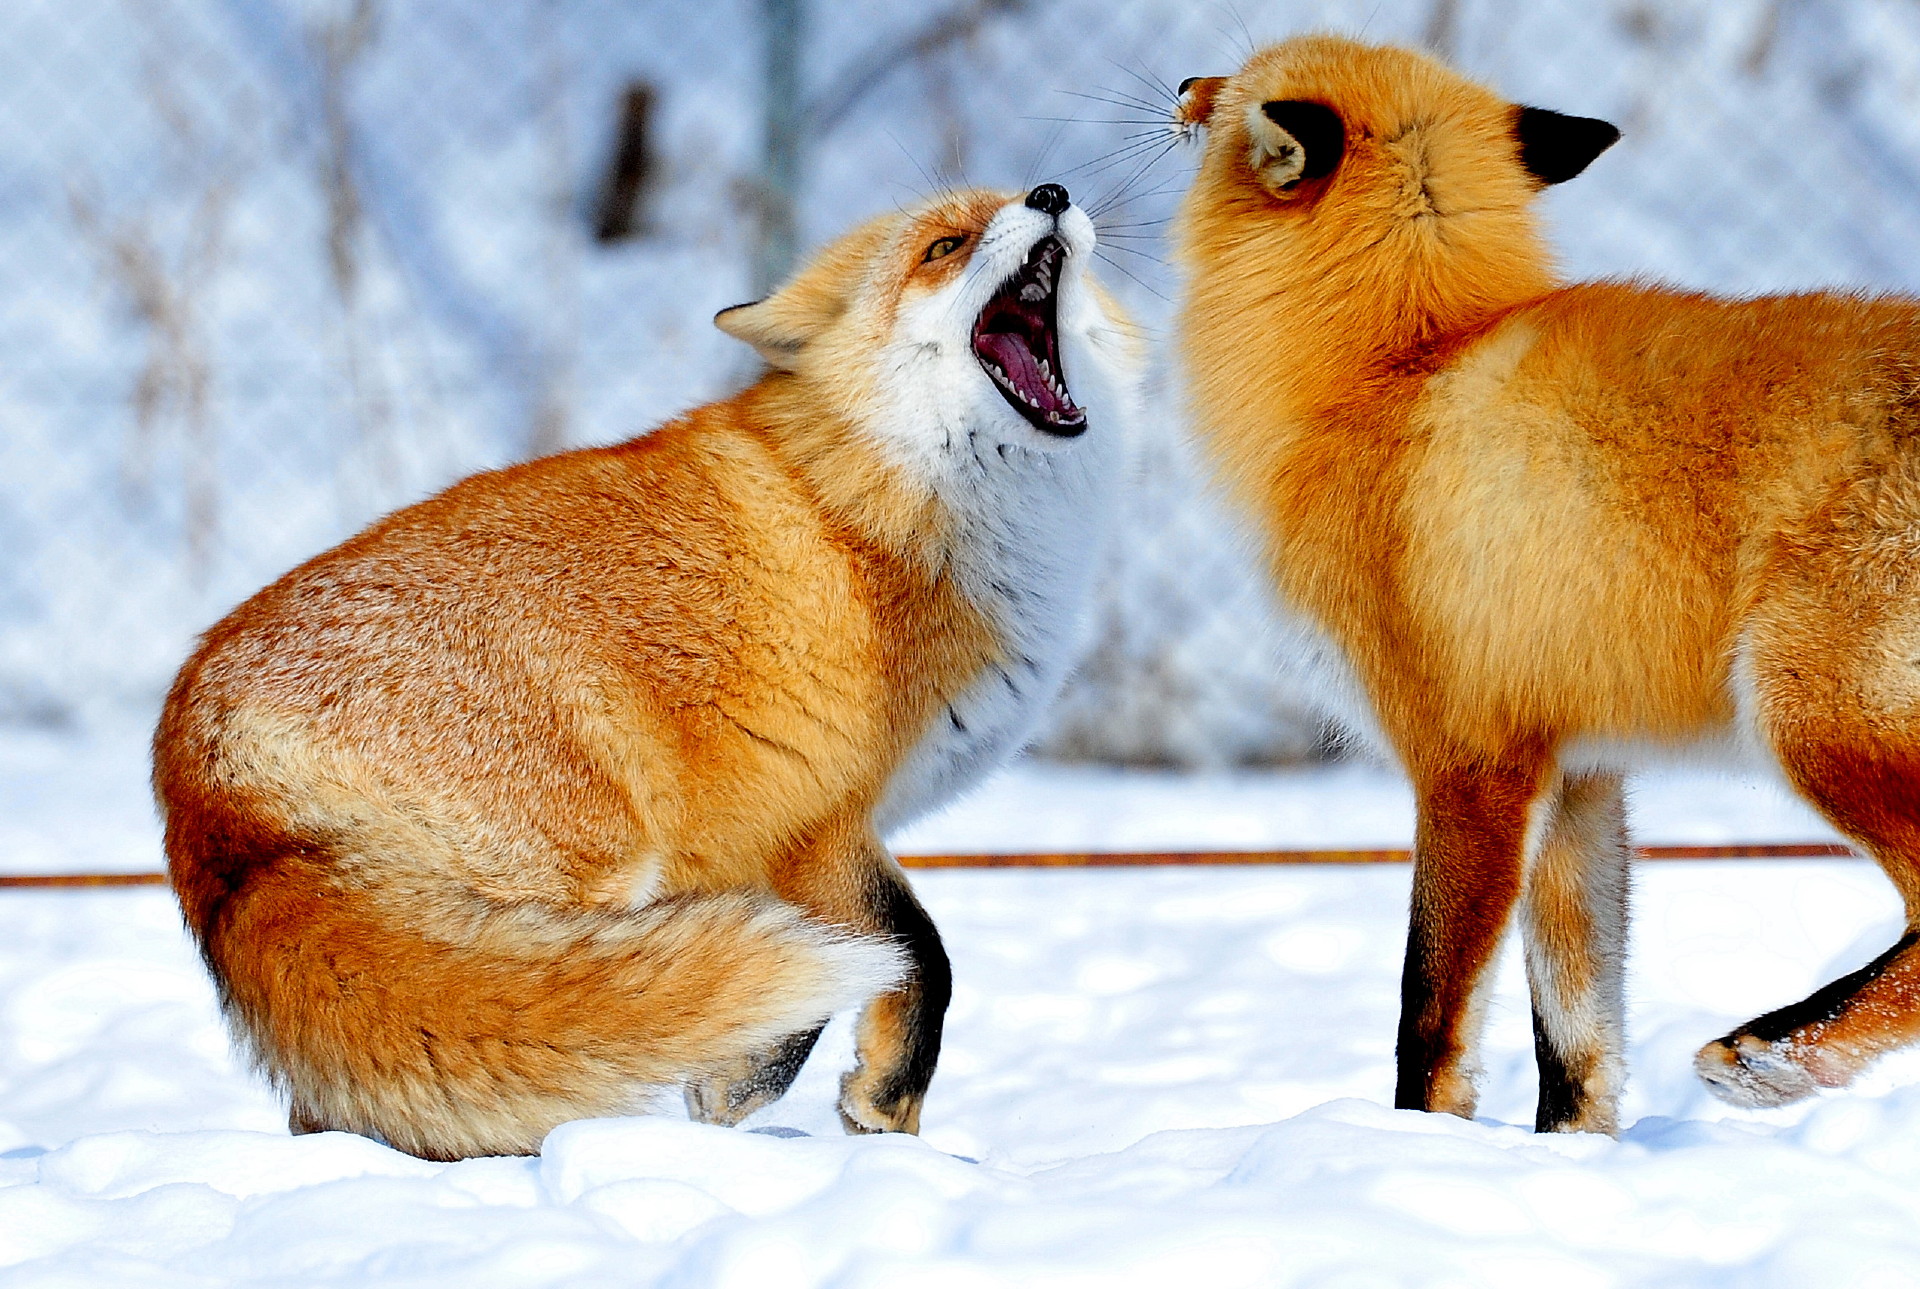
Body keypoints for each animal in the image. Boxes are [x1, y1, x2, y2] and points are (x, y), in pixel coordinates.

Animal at [157, 186, 1136, 1167]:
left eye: (1010, 200)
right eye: (944, 246)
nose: (1050, 193)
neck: (888, 495)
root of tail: (191, 741)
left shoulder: (760, 848)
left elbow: (794, 980)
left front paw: (743, 1091)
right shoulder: (815, 818)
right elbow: (918, 952)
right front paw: (884, 1108)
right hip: (579, 875)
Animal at [1175, 35, 1920, 1137]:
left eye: (1240, 77)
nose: (1182, 85)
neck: (1398, 362)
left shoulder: (1468, 764)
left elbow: (1430, 1017)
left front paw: (1412, 1148)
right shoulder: (1576, 776)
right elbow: (1574, 1040)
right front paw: (1567, 1162)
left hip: (1811, 719)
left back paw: (1773, 1053)